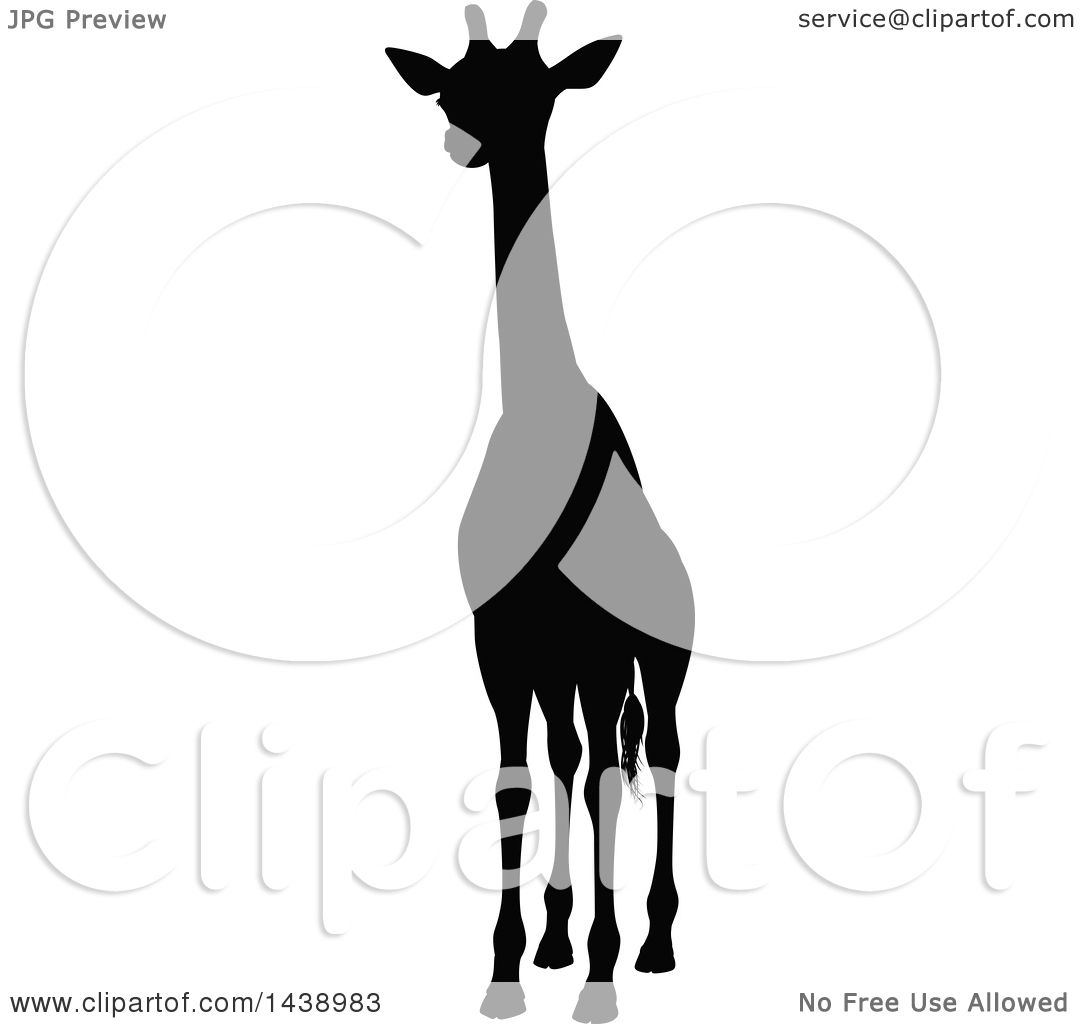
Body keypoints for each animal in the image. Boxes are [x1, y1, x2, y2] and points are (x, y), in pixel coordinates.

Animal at [387, 5, 694, 1021]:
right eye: (451, 87)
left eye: (543, 89)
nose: (462, 140)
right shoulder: (499, 639)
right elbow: (516, 783)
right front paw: (505, 969)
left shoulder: (599, 648)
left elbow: (604, 776)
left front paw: (603, 972)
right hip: (555, 664)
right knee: (570, 756)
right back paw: (560, 939)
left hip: (657, 656)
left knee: (652, 754)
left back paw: (652, 945)